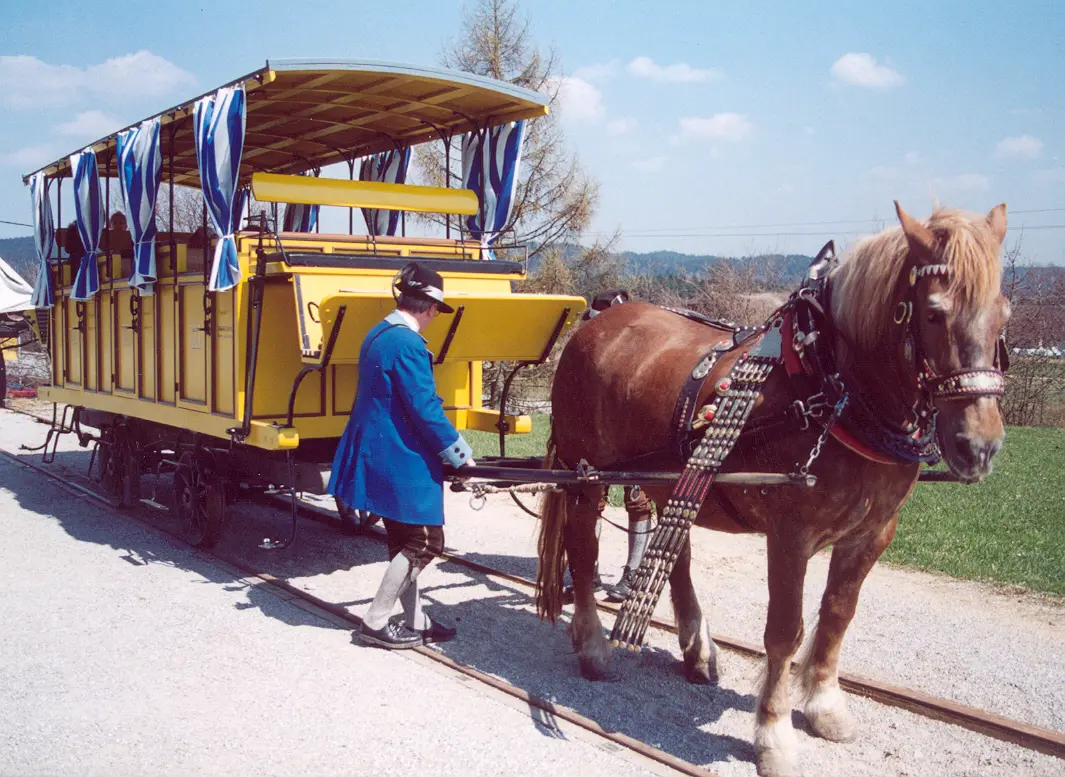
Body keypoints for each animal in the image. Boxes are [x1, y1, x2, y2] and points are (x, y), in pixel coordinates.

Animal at [536, 203, 1009, 770]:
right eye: (934, 313)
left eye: (1004, 315)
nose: (979, 446)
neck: (832, 386)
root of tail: (600, 317)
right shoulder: (791, 535)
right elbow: (785, 631)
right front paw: (774, 735)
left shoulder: (873, 533)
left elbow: (837, 616)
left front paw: (825, 706)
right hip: (586, 476)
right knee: (583, 550)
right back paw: (593, 648)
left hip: (664, 474)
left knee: (678, 554)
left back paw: (696, 649)